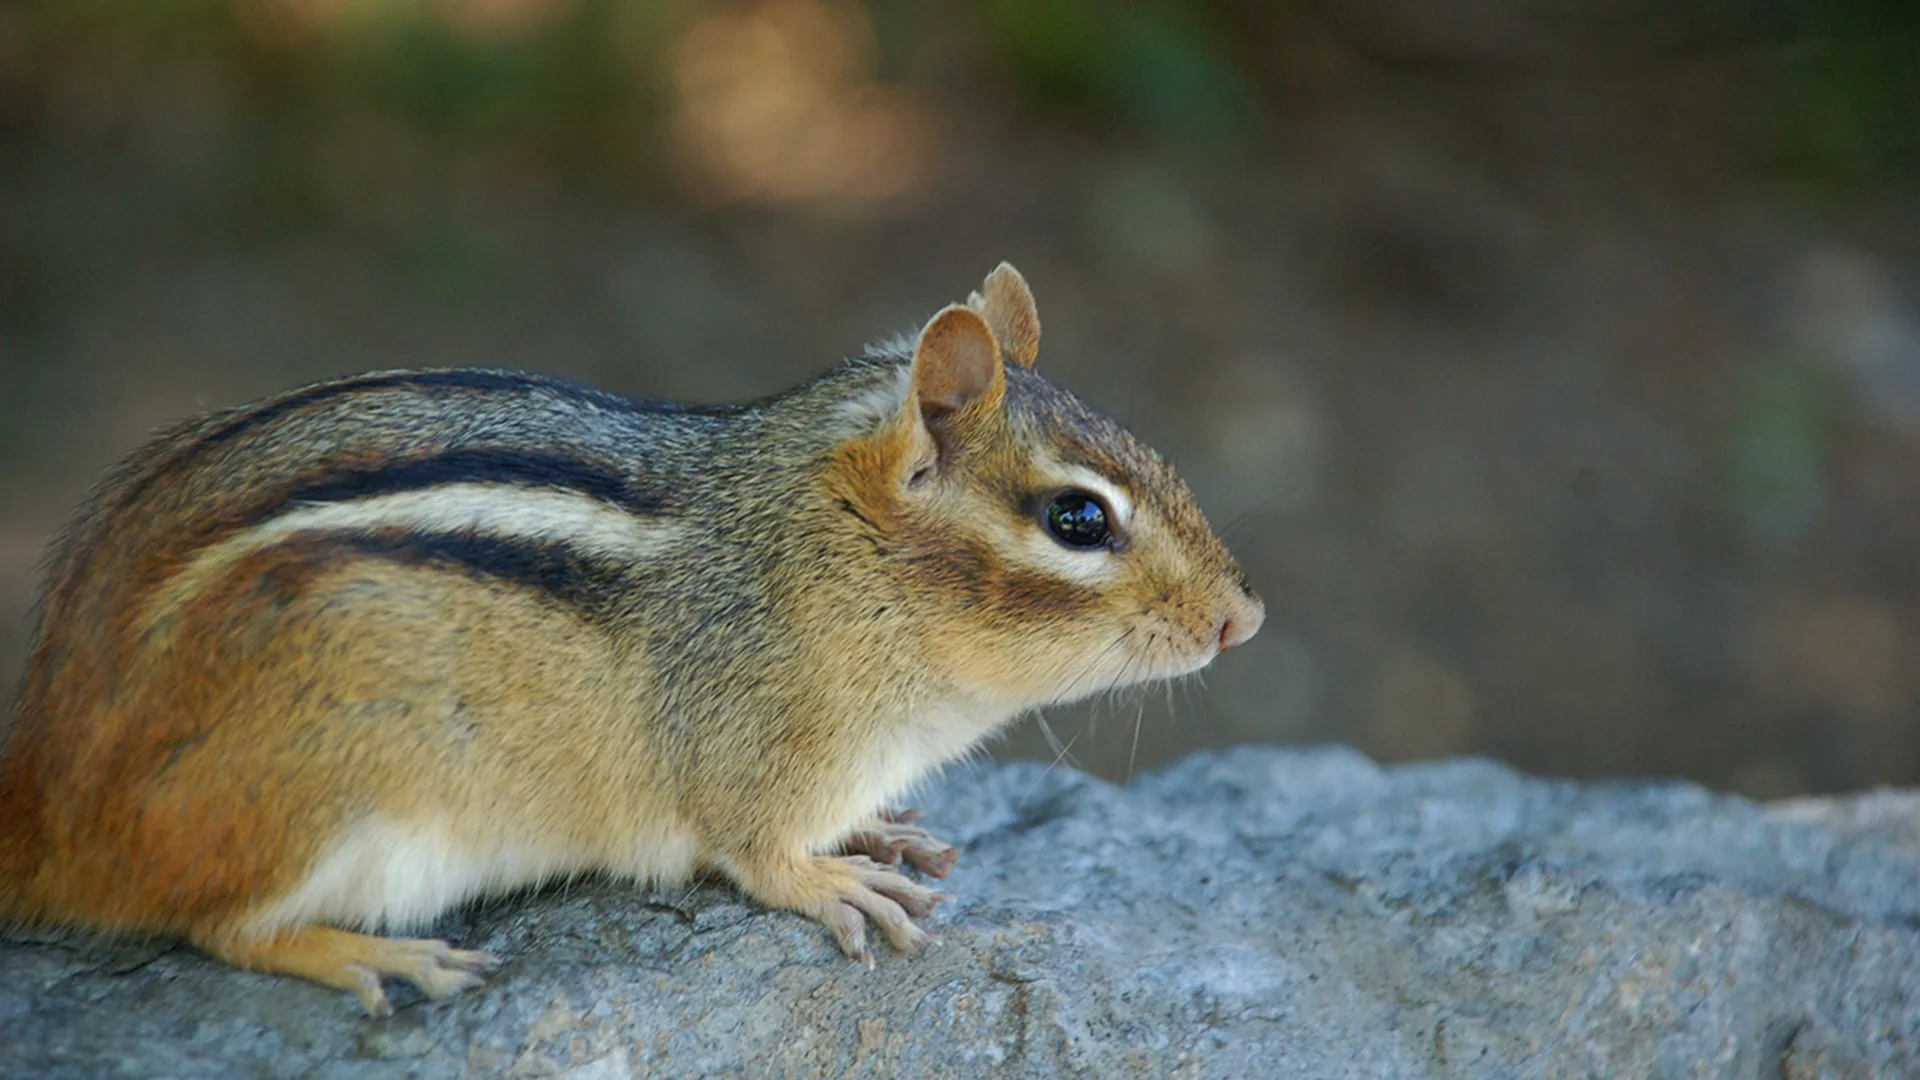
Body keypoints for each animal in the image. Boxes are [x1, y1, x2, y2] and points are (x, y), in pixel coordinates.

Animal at [0, 264, 1263, 1016]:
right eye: (1078, 519)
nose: (1243, 616)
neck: (824, 553)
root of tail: (52, 799)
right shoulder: (758, 757)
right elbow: (756, 855)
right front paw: (831, 881)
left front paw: (880, 832)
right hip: (316, 794)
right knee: (218, 923)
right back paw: (367, 952)